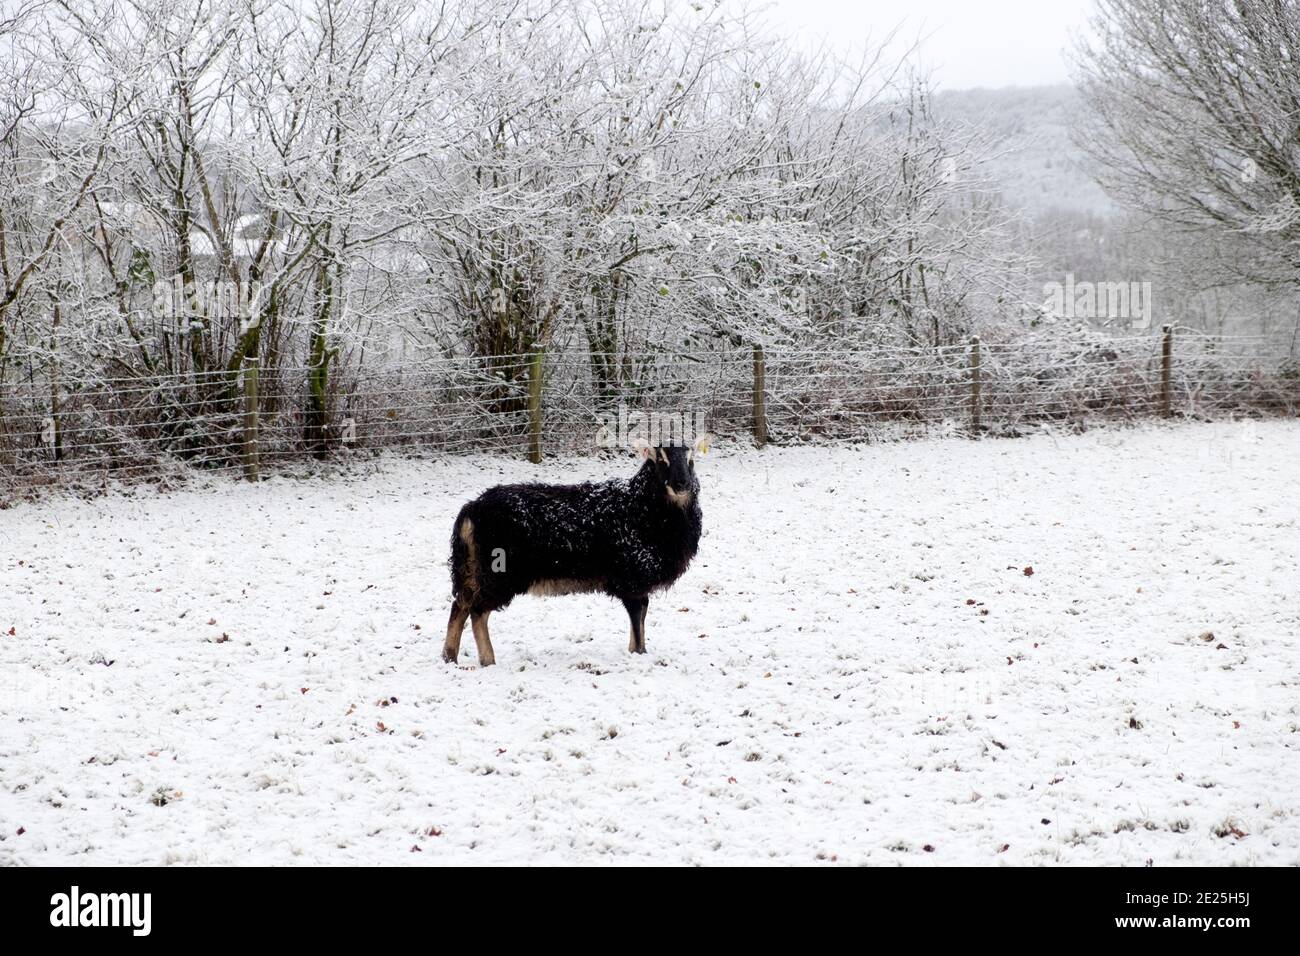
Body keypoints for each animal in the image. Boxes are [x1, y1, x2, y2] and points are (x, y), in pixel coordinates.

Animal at [441, 434, 707, 665]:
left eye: (691, 459)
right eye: (661, 460)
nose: (682, 484)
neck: (642, 510)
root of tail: (472, 508)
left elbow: (640, 618)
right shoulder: (631, 579)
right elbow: (637, 620)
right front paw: (639, 654)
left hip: (475, 567)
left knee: (460, 604)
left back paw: (449, 657)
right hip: (500, 571)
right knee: (477, 611)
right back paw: (487, 660)